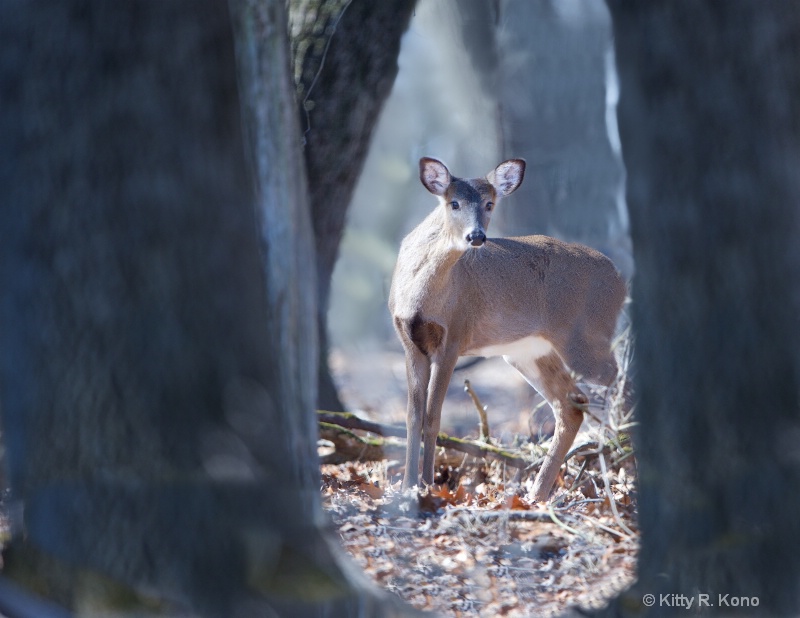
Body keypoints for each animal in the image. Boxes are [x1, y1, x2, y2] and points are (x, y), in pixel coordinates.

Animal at [390, 156, 628, 498]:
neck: (420, 295)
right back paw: (537, 494)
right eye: (454, 203)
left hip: (587, 337)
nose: (476, 236)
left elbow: (433, 417)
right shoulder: (409, 342)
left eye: (490, 203)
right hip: (528, 352)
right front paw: (408, 486)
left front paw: (427, 486)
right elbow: (412, 416)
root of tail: (620, 280)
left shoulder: (453, 338)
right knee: (571, 405)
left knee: (618, 380)